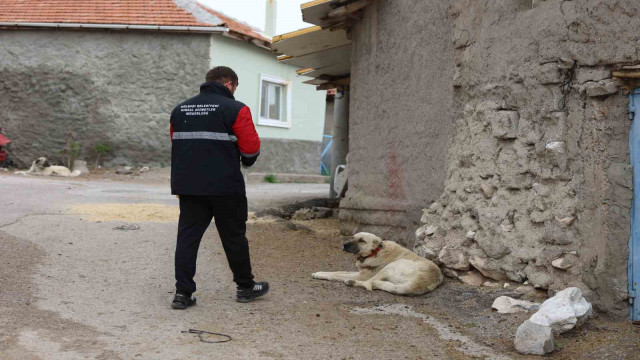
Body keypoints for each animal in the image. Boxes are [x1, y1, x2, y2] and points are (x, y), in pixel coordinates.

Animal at [312, 233, 442, 296]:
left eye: (362, 240)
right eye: (352, 237)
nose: (344, 245)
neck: (375, 251)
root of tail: (422, 282)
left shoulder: (362, 275)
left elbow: (336, 275)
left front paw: (320, 275)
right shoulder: (360, 272)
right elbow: (338, 271)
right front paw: (320, 272)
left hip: (392, 266)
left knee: (368, 283)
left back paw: (351, 282)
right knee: (377, 284)